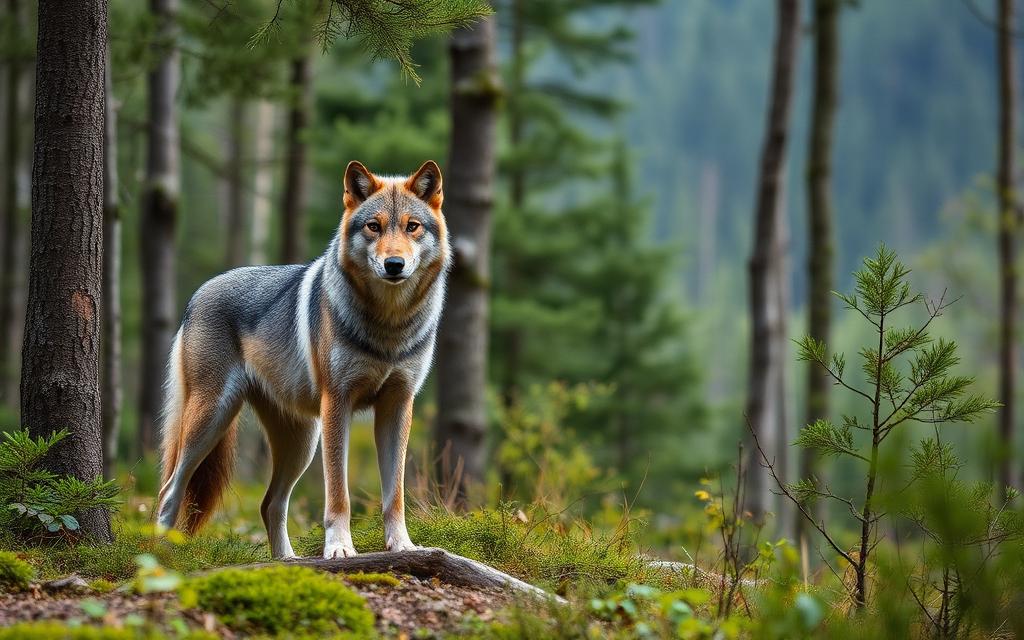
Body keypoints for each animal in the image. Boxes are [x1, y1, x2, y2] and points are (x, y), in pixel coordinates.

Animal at [155, 160, 450, 559]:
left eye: (412, 226)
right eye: (373, 226)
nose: (394, 264)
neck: (389, 326)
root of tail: (198, 293)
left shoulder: (399, 405)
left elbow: (395, 495)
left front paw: (402, 546)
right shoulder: (337, 404)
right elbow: (338, 494)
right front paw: (339, 549)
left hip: (300, 442)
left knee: (270, 503)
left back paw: (286, 560)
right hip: (213, 419)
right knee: (169, 489)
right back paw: (156, 555)